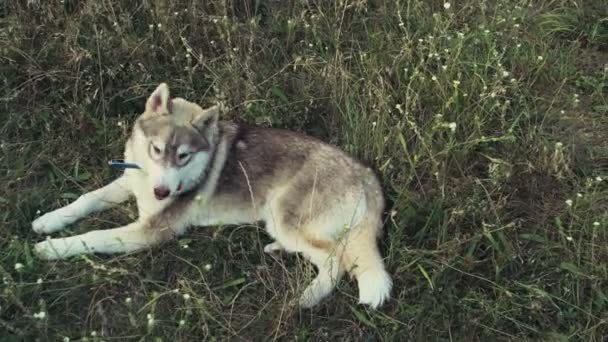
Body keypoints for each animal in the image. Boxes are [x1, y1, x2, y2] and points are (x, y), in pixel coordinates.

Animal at [33, 84, 392, 308]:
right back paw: (277, 250)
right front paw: (48, 221)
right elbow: (86, 199)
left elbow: (93, 236)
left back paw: (308, 297)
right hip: (281, 221)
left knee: (334, 261)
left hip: (284, 215)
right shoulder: (131, 181)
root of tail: (366, 174)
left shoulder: (148, 231)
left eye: (184, 156)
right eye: (157, 150)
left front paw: (52, 248)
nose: (163, 192)